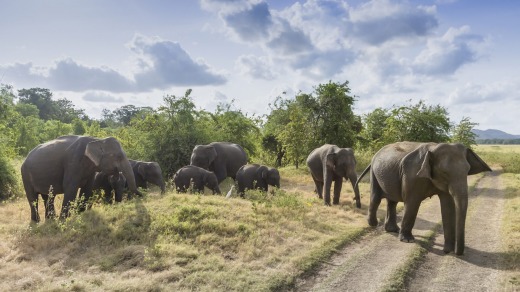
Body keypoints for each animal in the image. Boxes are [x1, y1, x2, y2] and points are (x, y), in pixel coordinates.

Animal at [356, 142, 490, 256]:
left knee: (392, 201)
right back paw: (374, 224)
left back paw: (392, 230)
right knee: (376, 198)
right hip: (374, 174)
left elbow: (447, 206)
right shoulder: (412, 176)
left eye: (467, 171)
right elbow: (412, 203)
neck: (434, 148)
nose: (453, 252)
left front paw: (448, 249)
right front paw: (408, 241)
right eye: (444, 172)